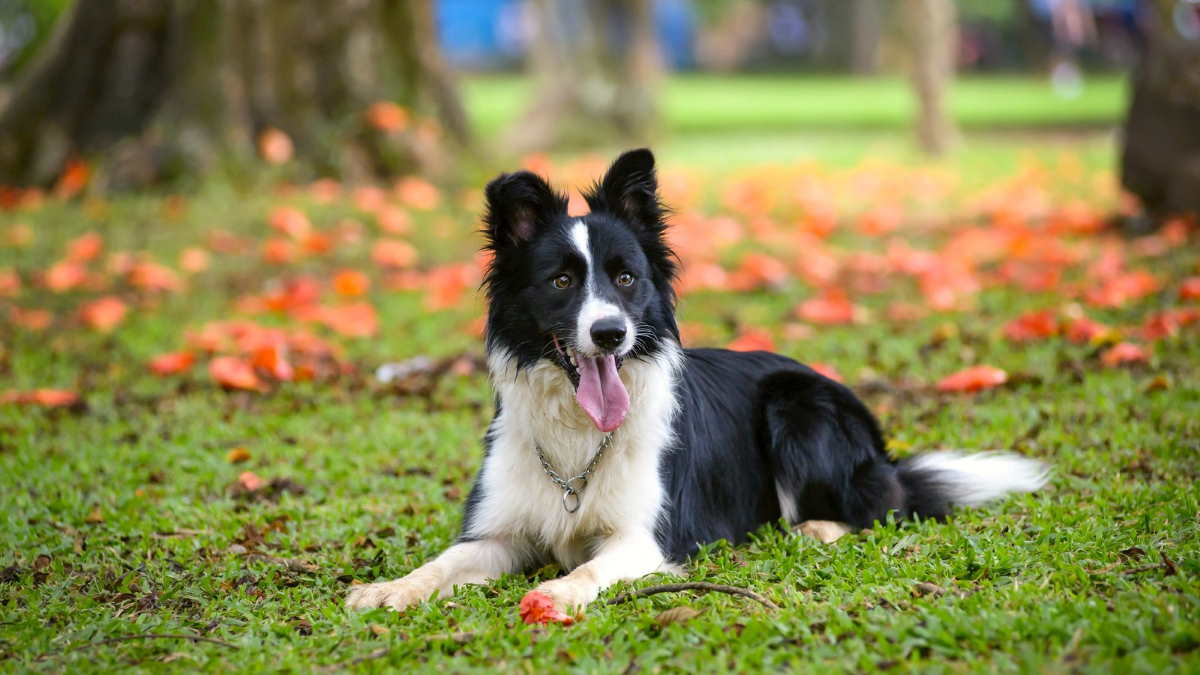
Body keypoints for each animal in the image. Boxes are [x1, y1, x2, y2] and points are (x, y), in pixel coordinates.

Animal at [343, 149, 1046, 624]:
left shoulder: (647, 535)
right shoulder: (496, 534)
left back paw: (815, 528)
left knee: (878, 506)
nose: (609, 335)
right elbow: (440, 564)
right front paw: (388, 589)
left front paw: (559, 591)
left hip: (798, 406)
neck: (577, 438)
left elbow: (592, 565)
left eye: (626, 278)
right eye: (561, 281)